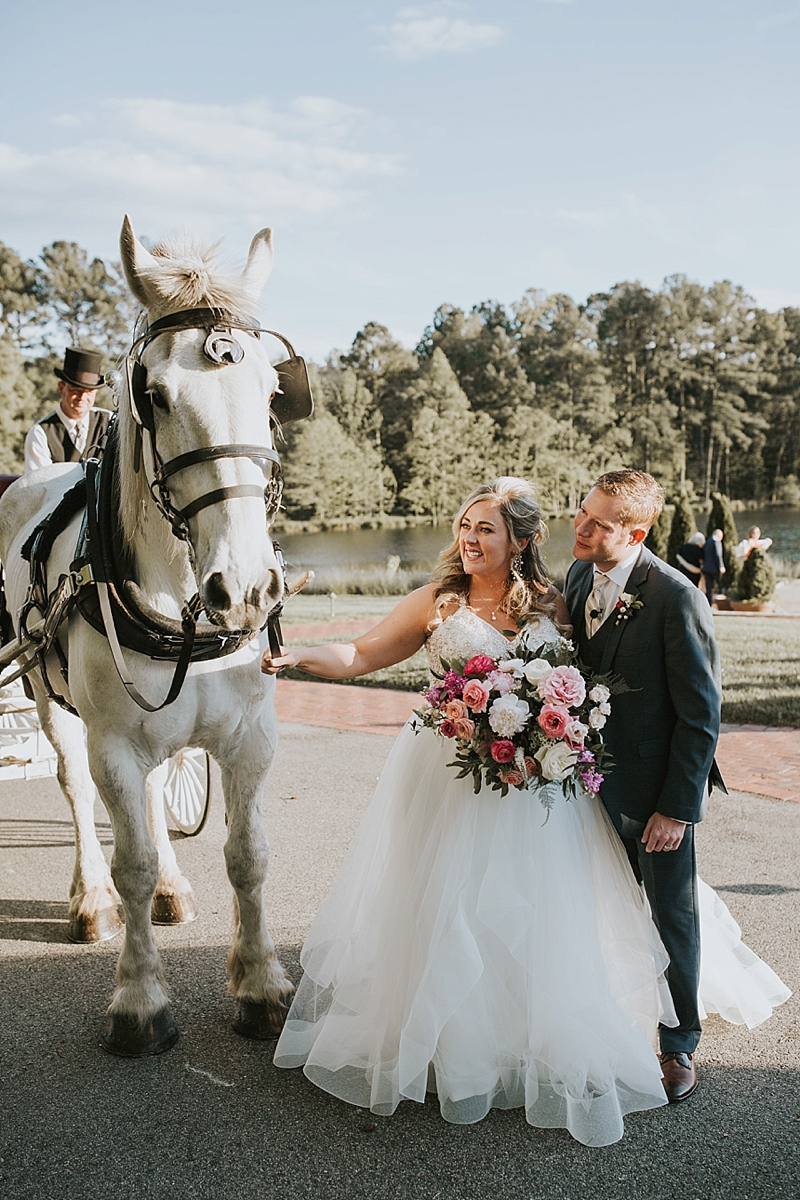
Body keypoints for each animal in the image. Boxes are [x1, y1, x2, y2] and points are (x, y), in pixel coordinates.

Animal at [0, 216, 297, 1051]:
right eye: (156, 395)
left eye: (270, 391)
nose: (248, 588)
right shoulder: (115, 744)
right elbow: (126, 856)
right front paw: (137, 999)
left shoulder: (249, 737)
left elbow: (249, 856)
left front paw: (261, 984)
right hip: (48, 698)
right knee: (74, 788)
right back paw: (90, 900)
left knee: (163, 791)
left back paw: (171, 886)